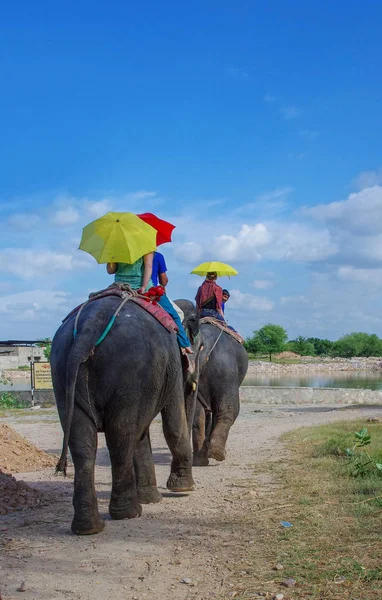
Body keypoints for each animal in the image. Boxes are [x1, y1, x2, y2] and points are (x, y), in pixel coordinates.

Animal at [50, 296, 200, 536]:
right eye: (197, 344)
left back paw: (89, 527)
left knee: (84, 442)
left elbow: (142, 432)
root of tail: (88, 328)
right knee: (120, 435)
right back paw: (129, 513)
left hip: (62, 370)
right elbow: (174, 424)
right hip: (131, 371)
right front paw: (184, 488)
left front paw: (153, 499)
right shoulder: (174, 366)